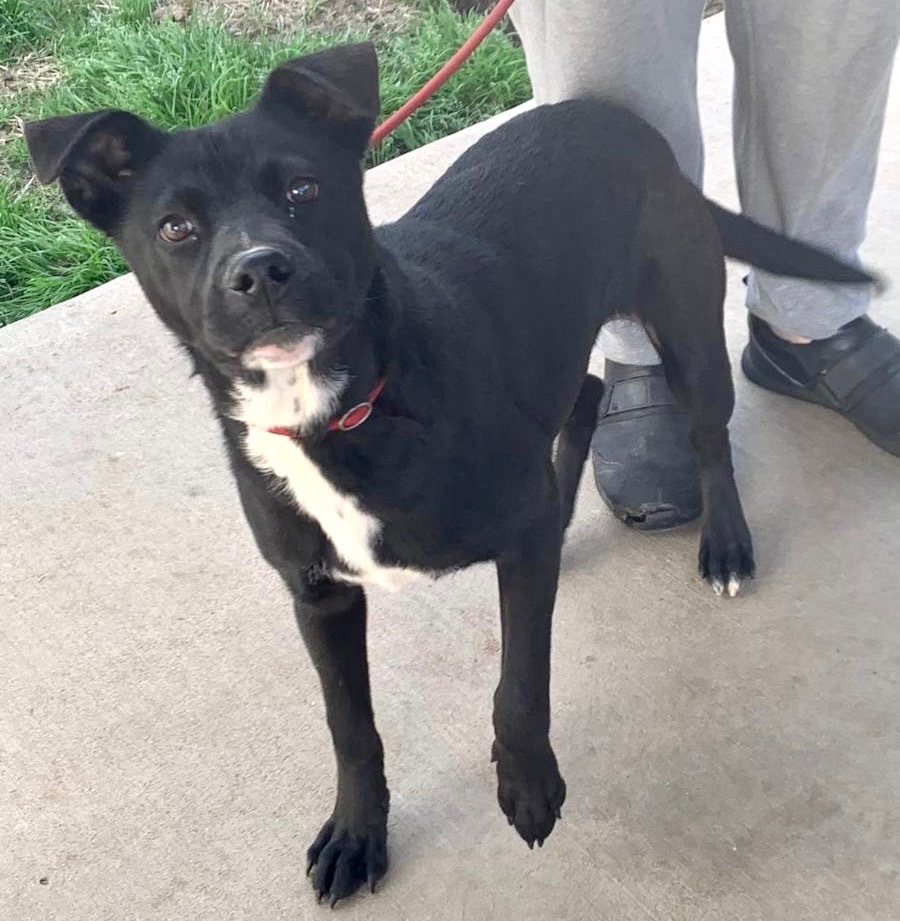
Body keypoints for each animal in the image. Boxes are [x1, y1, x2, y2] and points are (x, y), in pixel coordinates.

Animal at [26, 43, 872, 904]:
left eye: (303, 188)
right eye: (176, 227)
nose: (259, 271)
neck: (344, 410)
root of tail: (628, 127)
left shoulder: (509, 557)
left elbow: (521, 682)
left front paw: (527, 781)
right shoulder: (317, 594)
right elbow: (350, 724)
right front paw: (358, 832)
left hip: (686, 326)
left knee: (707, 434)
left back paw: (726, 545)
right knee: (584, 398)